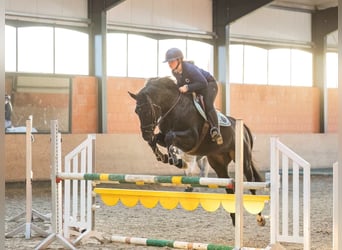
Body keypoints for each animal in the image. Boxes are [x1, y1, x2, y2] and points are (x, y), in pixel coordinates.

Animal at [128, 76, 264, 227]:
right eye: (136, 111)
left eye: (147, 111)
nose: (145, 135)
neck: (174, 108)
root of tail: (243, 126)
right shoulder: (165, 136)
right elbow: (158, 139)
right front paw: (163, 157)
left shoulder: (192, 138)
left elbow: (170, 137)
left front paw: (176, 160)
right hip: (219, 164)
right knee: (229, 188)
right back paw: (235, 220)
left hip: (243, 160)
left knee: (251, 183)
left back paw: (259, 217)